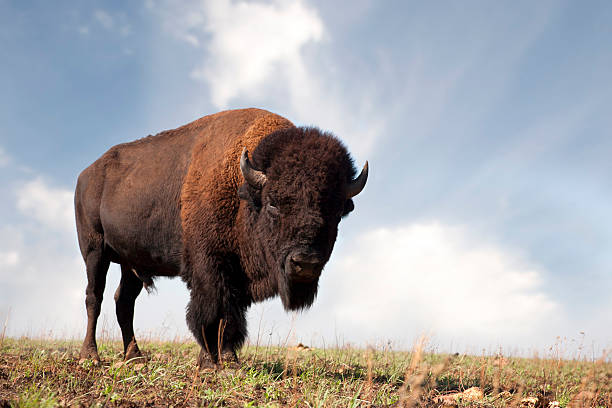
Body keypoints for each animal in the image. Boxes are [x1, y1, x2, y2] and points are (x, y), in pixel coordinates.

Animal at [74, 107, 366, 366]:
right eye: (273, 203)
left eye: (336, 211)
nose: (305, 263)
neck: (244, 192)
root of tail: (85, 175)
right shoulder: (209, 265)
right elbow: (212, 310)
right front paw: (210, 361)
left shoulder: (238, 275)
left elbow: (231, 315)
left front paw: (228, 359)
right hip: (94, 251)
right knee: (94, 297)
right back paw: (91, 356)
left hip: (131, 263)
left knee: (124, 302)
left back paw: (135, 357)